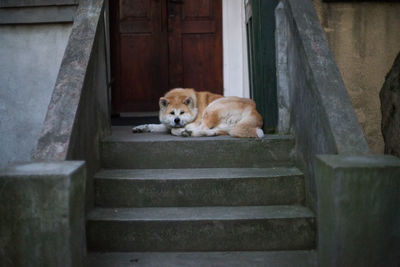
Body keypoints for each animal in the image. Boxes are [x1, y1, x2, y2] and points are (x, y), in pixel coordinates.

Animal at [131, 88, 264, 139]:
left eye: (182, 112)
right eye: (172, 113)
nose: (177, 120)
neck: (195, 107)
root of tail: (253, 108)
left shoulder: (193, 122)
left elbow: (174, 129)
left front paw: (182, 130)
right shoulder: (168, 124)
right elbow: (153, 126)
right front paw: (141, 127)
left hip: (212, 107)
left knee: (202, 128)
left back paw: (186, 132)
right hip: (226, 125)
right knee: (215, 131)